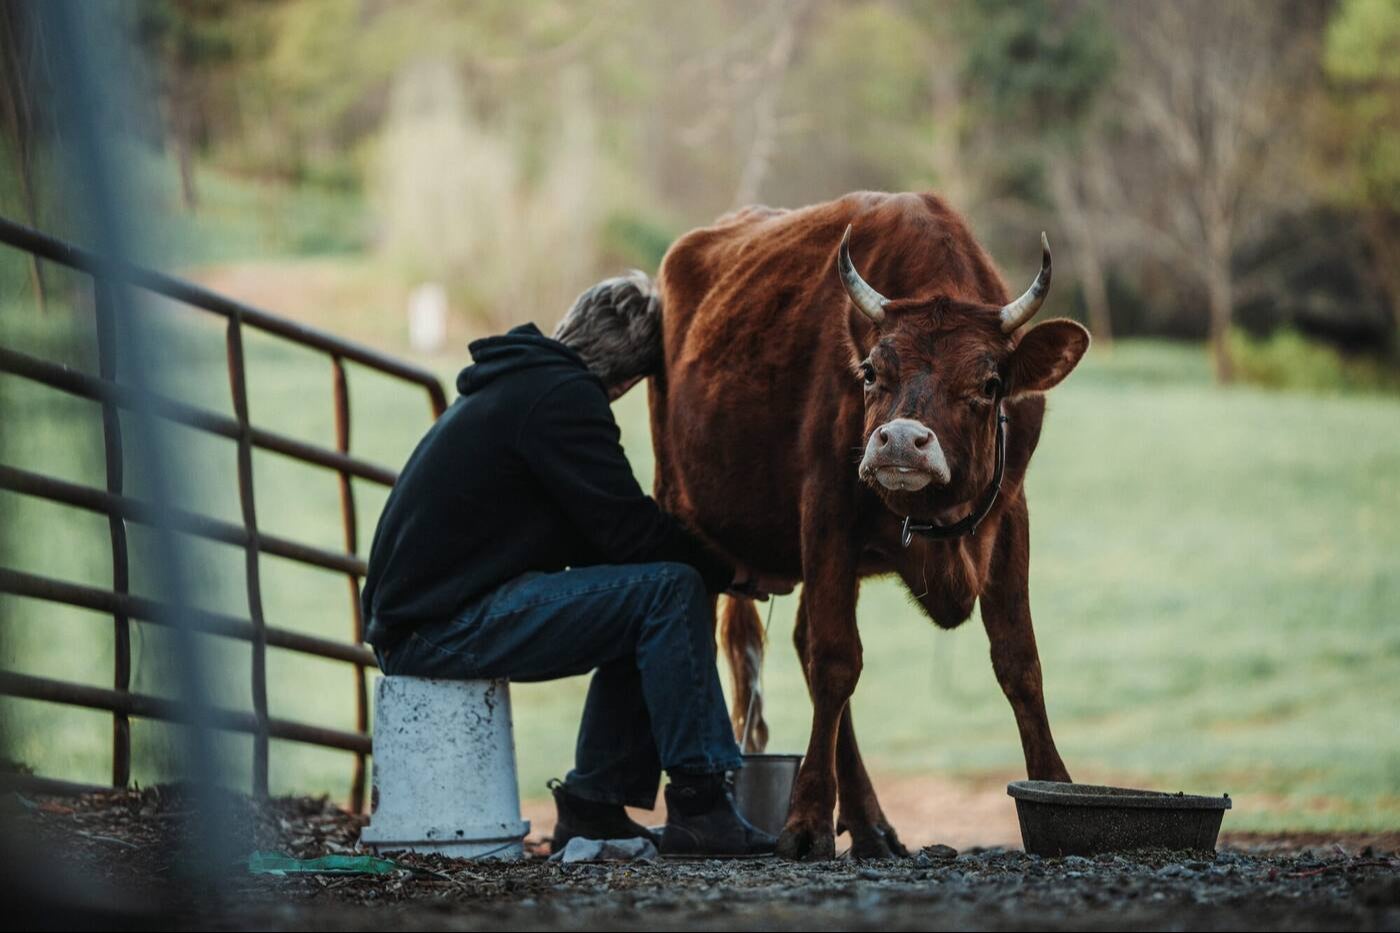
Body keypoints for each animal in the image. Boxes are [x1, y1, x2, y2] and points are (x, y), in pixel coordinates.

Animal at [642, 191, 1089, 860]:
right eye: (873, 373)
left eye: (990, 384)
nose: (900, 440)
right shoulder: (827, 508)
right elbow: (836, 661)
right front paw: (805, 821)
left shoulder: (1011, 514)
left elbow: (1019, 659)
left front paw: (1056, 789)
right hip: (680, 501)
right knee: (801, 645)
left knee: (802, 638)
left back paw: (871, 821)